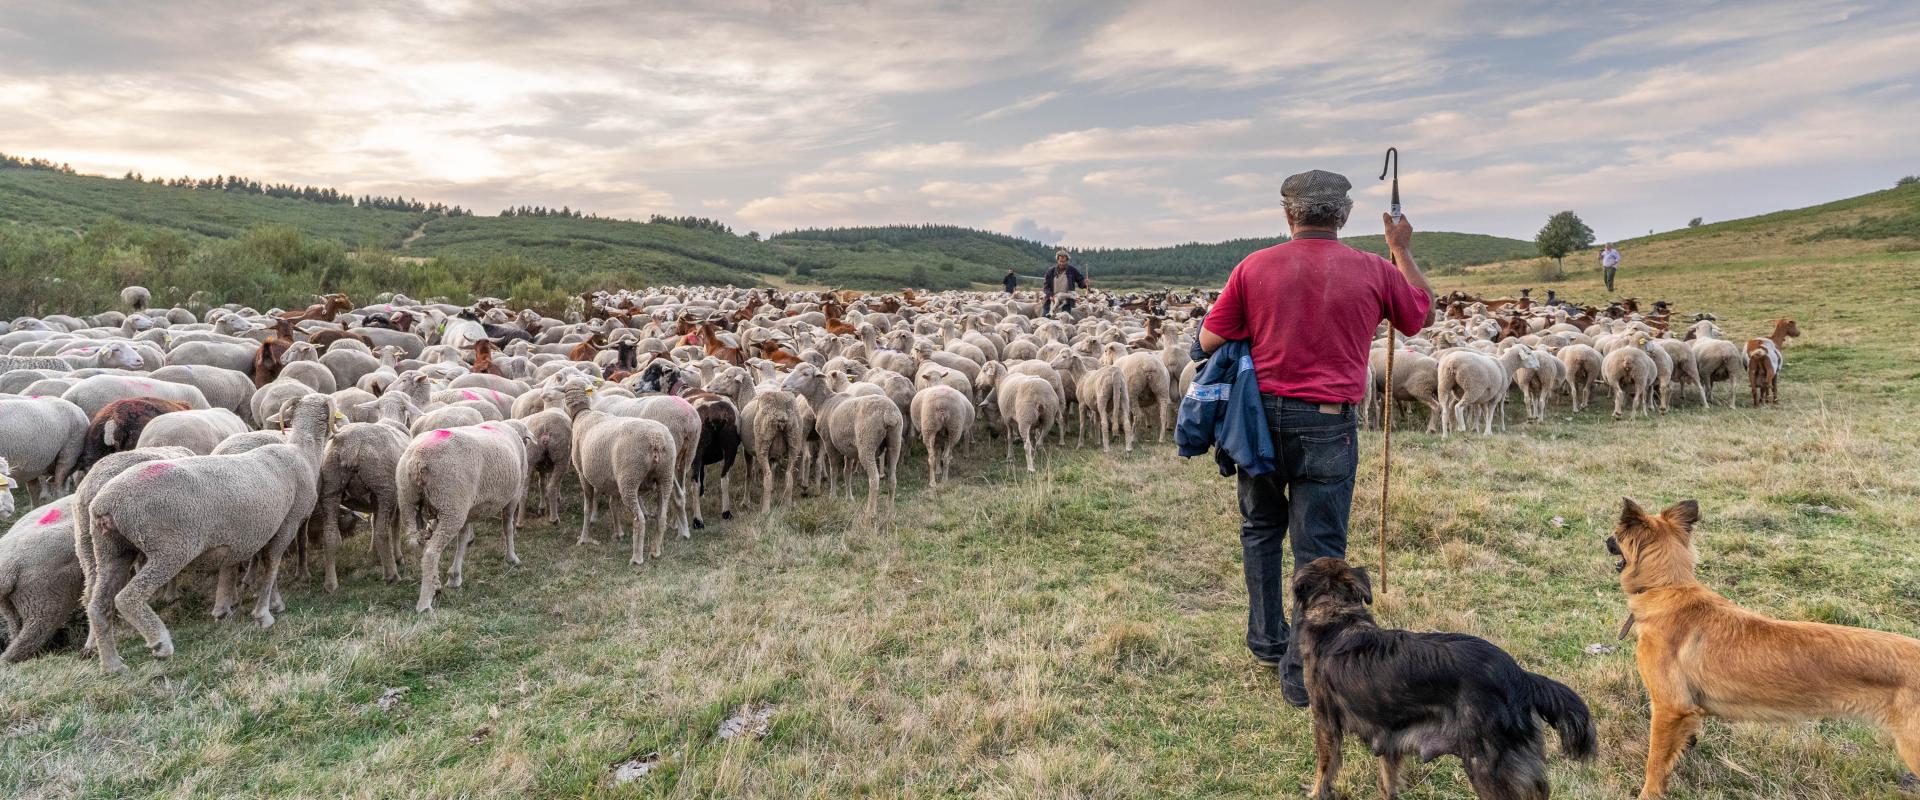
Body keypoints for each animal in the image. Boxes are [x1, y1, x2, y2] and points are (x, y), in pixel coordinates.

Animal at [1297, 556, 1597, 794]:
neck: (1336, 614)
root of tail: (1520, 677)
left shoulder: (1325, 721)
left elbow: (1324, 770)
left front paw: (1315, 792)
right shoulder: (1390, 735)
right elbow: (1388, 781)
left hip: (1485, 767)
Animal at [1605, 494, 1920, 794]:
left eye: (1616, 535)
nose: (1604, 539)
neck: (1666, 586)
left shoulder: (1668, 708)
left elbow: (1655, 763)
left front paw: (1649, 792)